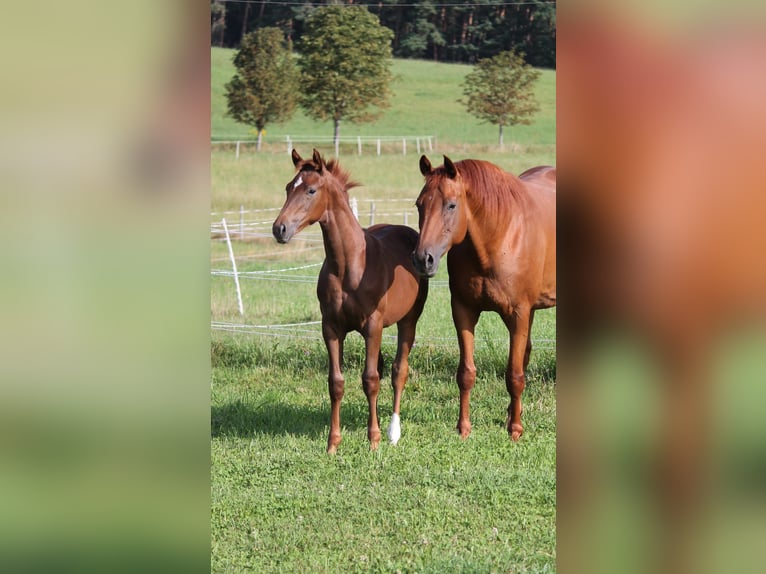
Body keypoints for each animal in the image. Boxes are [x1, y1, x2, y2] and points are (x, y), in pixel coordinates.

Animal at [270, 150, 428, 454]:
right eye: (287, 187)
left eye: (311, 190)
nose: (279, 229)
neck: (350, 265)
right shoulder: (331, 328)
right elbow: (336, 383)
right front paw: (333, 443)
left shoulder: (372, 327)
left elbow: (370, 380)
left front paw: (374, 440)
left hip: (408, 321)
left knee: (398, 371)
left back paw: (393, 432)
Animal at [414, 159, 560, 446]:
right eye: (419, 204)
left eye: (451, 205)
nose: (423, 259)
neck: (499, 236)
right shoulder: (463, 311)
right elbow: (466, 373)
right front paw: (464, 428)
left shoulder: (518, 313)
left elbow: (514, 375)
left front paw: (515, 429)